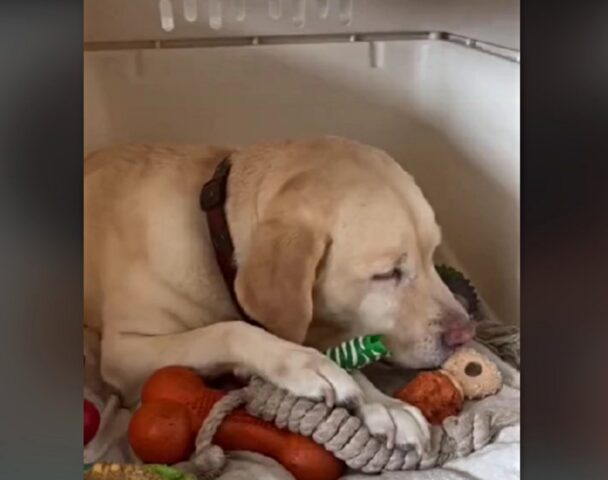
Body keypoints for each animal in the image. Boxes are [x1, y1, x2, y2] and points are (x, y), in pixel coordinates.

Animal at [85, 136, 476, 454]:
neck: (214, 234)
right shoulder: (126, 350)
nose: (465, 333)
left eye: (433, 254)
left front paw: (383, 404)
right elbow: (229, 330)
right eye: (387, 273)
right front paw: (306, 365)